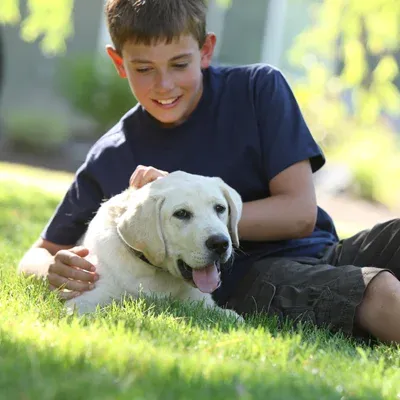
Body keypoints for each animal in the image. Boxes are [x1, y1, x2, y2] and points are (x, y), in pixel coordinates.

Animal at [65, 170, 244, 322]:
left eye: (220, 208)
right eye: (181, 214)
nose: (220, 243)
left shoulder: (202, 302)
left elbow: (233, 317)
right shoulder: (83, 299)